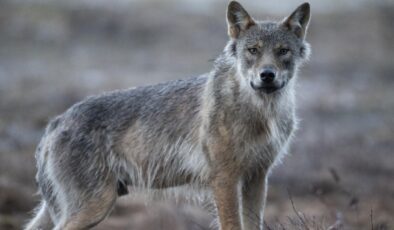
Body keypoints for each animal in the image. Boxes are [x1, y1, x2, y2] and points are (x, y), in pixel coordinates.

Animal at [25, 1, 310, 230]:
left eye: (283, 51)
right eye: (253, 50)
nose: (267, 75)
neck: (261, 112)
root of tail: (56, 122)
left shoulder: (257, 178)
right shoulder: (225, 179)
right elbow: (231, 224)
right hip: (94, 207)